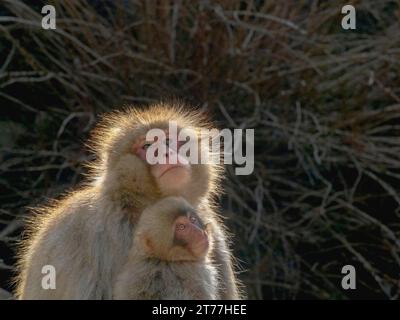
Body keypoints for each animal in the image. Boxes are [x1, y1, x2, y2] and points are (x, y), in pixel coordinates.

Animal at [15, 102, 242, 300]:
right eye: (148, 146)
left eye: (168, 141)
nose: (166, 153)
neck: (141, 204)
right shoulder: (103, 230)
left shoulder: (211, 230)